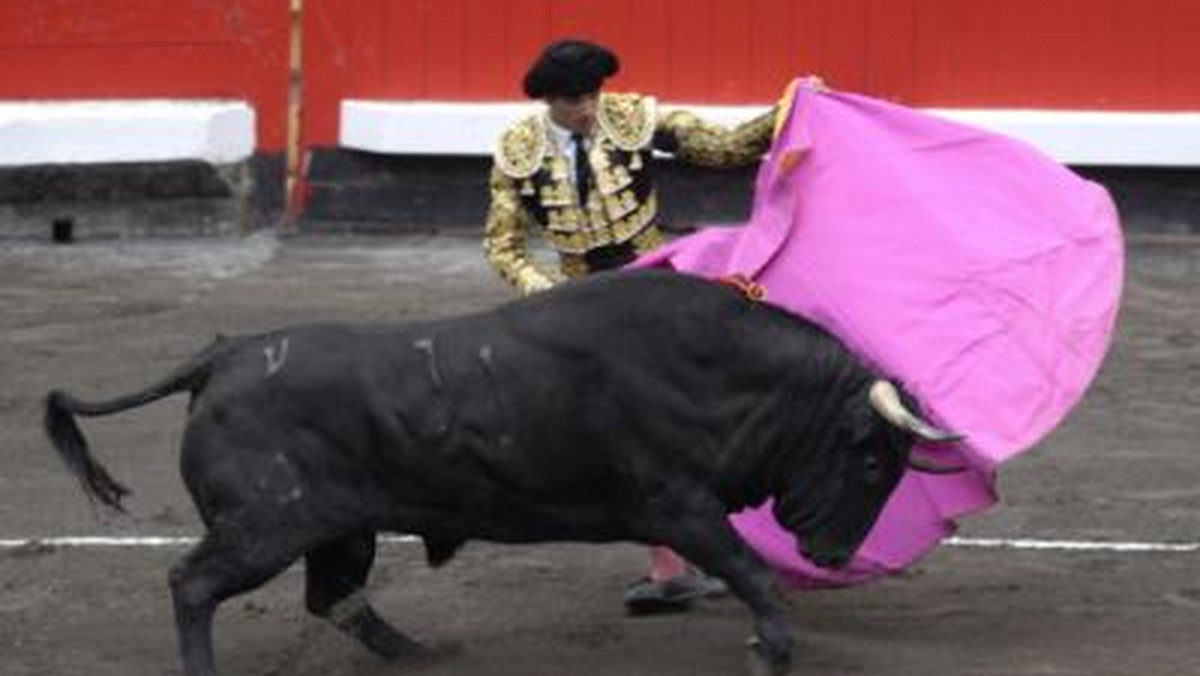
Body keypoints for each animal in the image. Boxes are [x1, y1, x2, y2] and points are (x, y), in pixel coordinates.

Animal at [44, 270, 955, 676]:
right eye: (872, 457)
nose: (834, 557)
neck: (720, 368)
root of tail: (223, 355)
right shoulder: (679, 505)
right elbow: (751, 572)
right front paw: (771, 650)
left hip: (340, 527)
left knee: (334, 596)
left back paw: (425, 656)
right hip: (264, 526)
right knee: (193, 582)